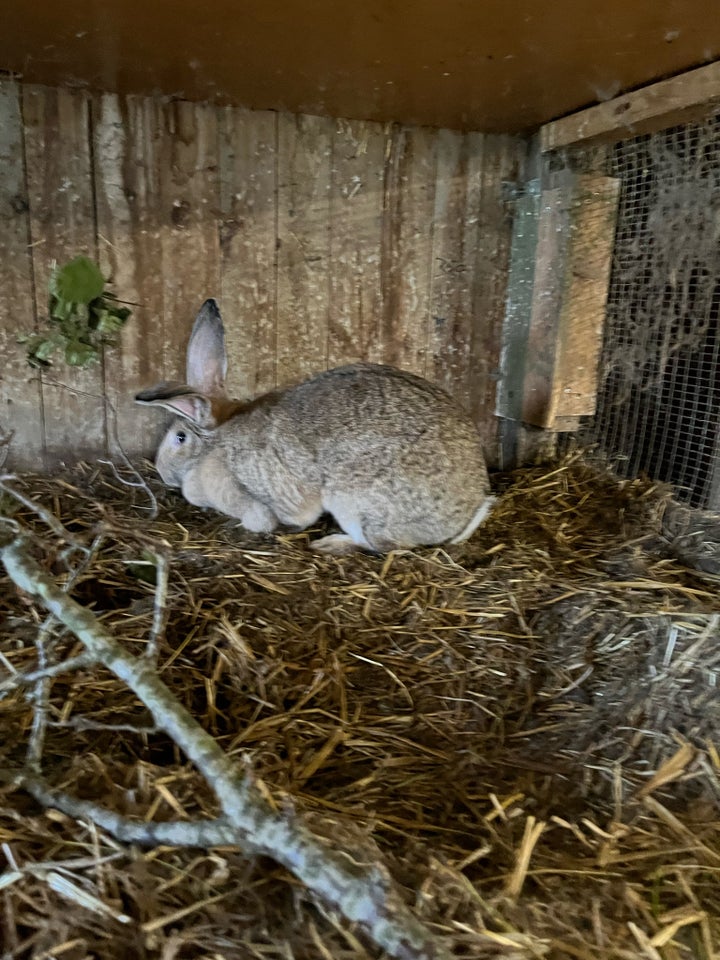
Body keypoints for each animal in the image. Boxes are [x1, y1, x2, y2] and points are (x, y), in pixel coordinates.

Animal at [135, 300, 496, 556]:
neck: (215, 442)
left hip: (354, 503)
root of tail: (465, 513)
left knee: (389, 546)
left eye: (179, 438)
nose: (163, 473)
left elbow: (267, 519)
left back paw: (331, 544)